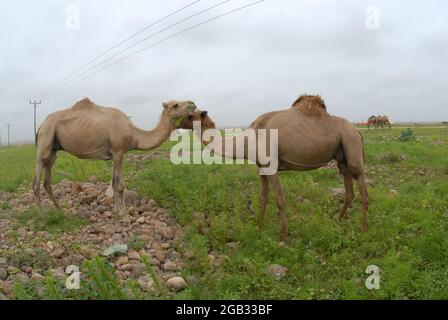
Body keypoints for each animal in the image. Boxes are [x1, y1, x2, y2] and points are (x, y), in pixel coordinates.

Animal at [34, 97, 195, 216]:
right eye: (175, 105)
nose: (192, 104)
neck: (134, 134)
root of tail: (41, 125)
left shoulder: (113, 154)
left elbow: (113, 184)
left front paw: (117, 212)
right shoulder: (118, 152)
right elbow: (120, 185)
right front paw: (124, 215)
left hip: (54, 148)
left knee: (47, 180)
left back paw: (60, 211)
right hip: (46, 137)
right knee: (37, 179)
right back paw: (42, 216)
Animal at [180, 95, 370, 240]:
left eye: (190, 115)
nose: (178, 121)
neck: (247, 140)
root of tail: (357, 130)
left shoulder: (271, 165)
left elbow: (279, 199)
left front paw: (284, 235)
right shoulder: (262, 167)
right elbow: (264, 197)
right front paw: (259, 225)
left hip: (351, 144)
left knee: (362, 188)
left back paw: (363, 228)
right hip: (341, 157)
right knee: (349, 190)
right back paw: (337, 220)